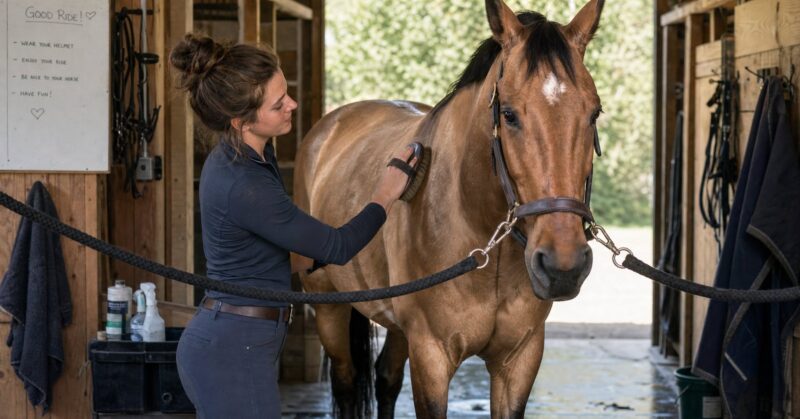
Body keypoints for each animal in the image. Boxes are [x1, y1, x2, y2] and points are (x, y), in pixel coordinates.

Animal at [294, 0, 605, 417]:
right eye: (508, 114)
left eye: (594, 113)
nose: (562, 265)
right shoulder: (432, 357)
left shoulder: (519, 360)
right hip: (329, 308)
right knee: (345, 382)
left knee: (386, 379)